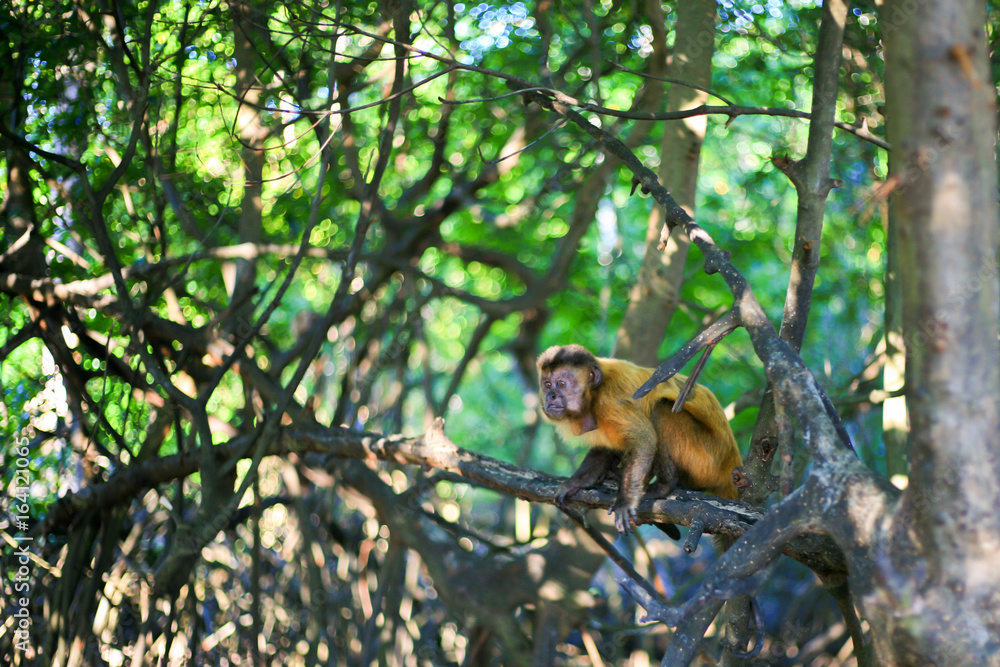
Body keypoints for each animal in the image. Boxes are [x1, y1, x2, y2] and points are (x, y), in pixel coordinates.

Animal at [537, 344, 741, 535]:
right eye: (547, 385)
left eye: (561, 384)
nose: (550, 396)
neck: (594, 395)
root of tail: (730, 463)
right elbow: (605, 449)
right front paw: (577, 482)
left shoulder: (611, 401)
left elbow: (644, 439)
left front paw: (625, 501)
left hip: (708, 459)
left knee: (661, 409)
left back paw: (665, 485)